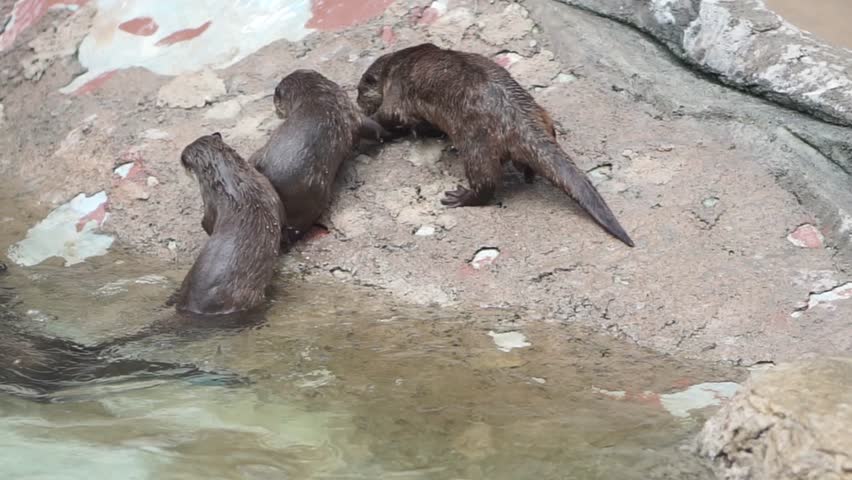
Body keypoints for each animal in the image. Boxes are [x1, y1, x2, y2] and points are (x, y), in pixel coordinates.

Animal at [177, 132, 285, 315]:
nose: (180, 159)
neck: (233, 180)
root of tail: (194, 304)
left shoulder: (209, 203)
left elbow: (207, 223)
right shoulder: (267, 186)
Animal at [357, 43, 634, 247]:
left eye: (360, 91)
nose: (359, 102)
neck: (398, 64)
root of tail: (518, 118)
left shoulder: (397, 91)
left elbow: (390, 116)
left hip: (476, 143)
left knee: (486, 182)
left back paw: (462, 197)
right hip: (543, 117)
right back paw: (528, 173)